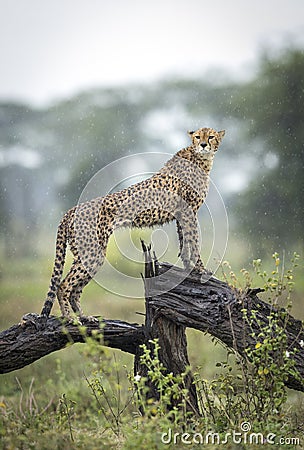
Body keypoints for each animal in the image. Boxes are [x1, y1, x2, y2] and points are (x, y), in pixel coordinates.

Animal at [40, 128, 224, 322]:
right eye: (198, 136)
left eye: (211, 136)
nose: (203, 144)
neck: (201, 158)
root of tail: (71, 209)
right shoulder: (188, 212)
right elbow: (193, 241)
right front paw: (200, 270)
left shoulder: (182, 214)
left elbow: (184, 241)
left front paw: (190, 268)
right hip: (93, 251)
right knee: (64, 285)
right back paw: (70, 319)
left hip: (87, 252)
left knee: (75, 289)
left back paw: (85, 318)